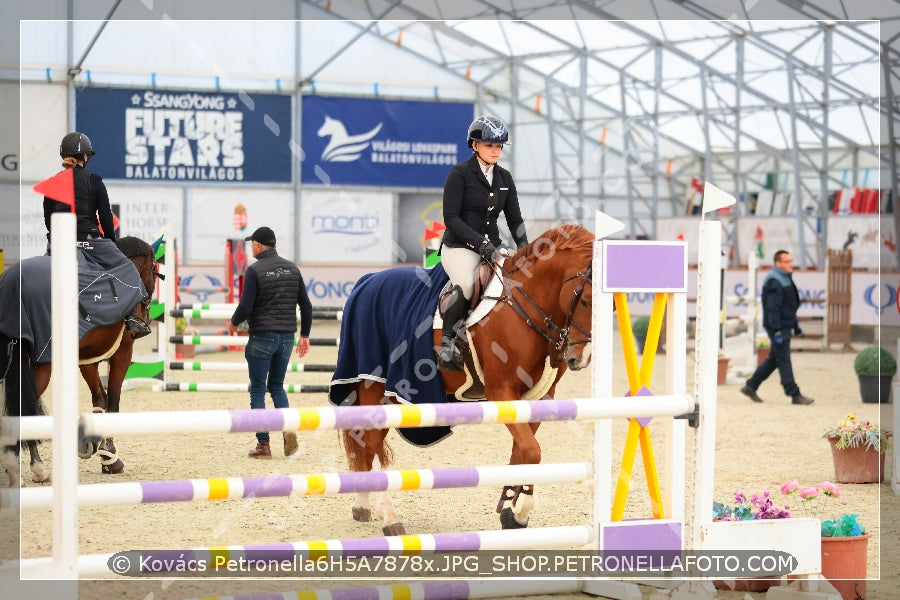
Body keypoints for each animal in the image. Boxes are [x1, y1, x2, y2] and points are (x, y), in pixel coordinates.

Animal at [0, 237, 160, 486]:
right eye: (153, 269)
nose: (145, 317)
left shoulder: (87, 359)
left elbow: (100, 398)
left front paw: (99, 450)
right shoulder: (123, 353)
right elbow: (113, 401)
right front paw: (110, 457)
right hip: (42, 366)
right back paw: (34, 469)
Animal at [328, 225, 592, 536]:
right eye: (585, 300)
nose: (580, 358)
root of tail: (367, 280)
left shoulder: (539, 397)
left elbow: (523, 453)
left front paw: (513, 512)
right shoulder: (502, 390)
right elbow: (531, 451)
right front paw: (520, 510)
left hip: (390, 396)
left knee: (369, 443)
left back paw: (363, 505)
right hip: (374, 384)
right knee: (370, 443)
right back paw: (390, 517)